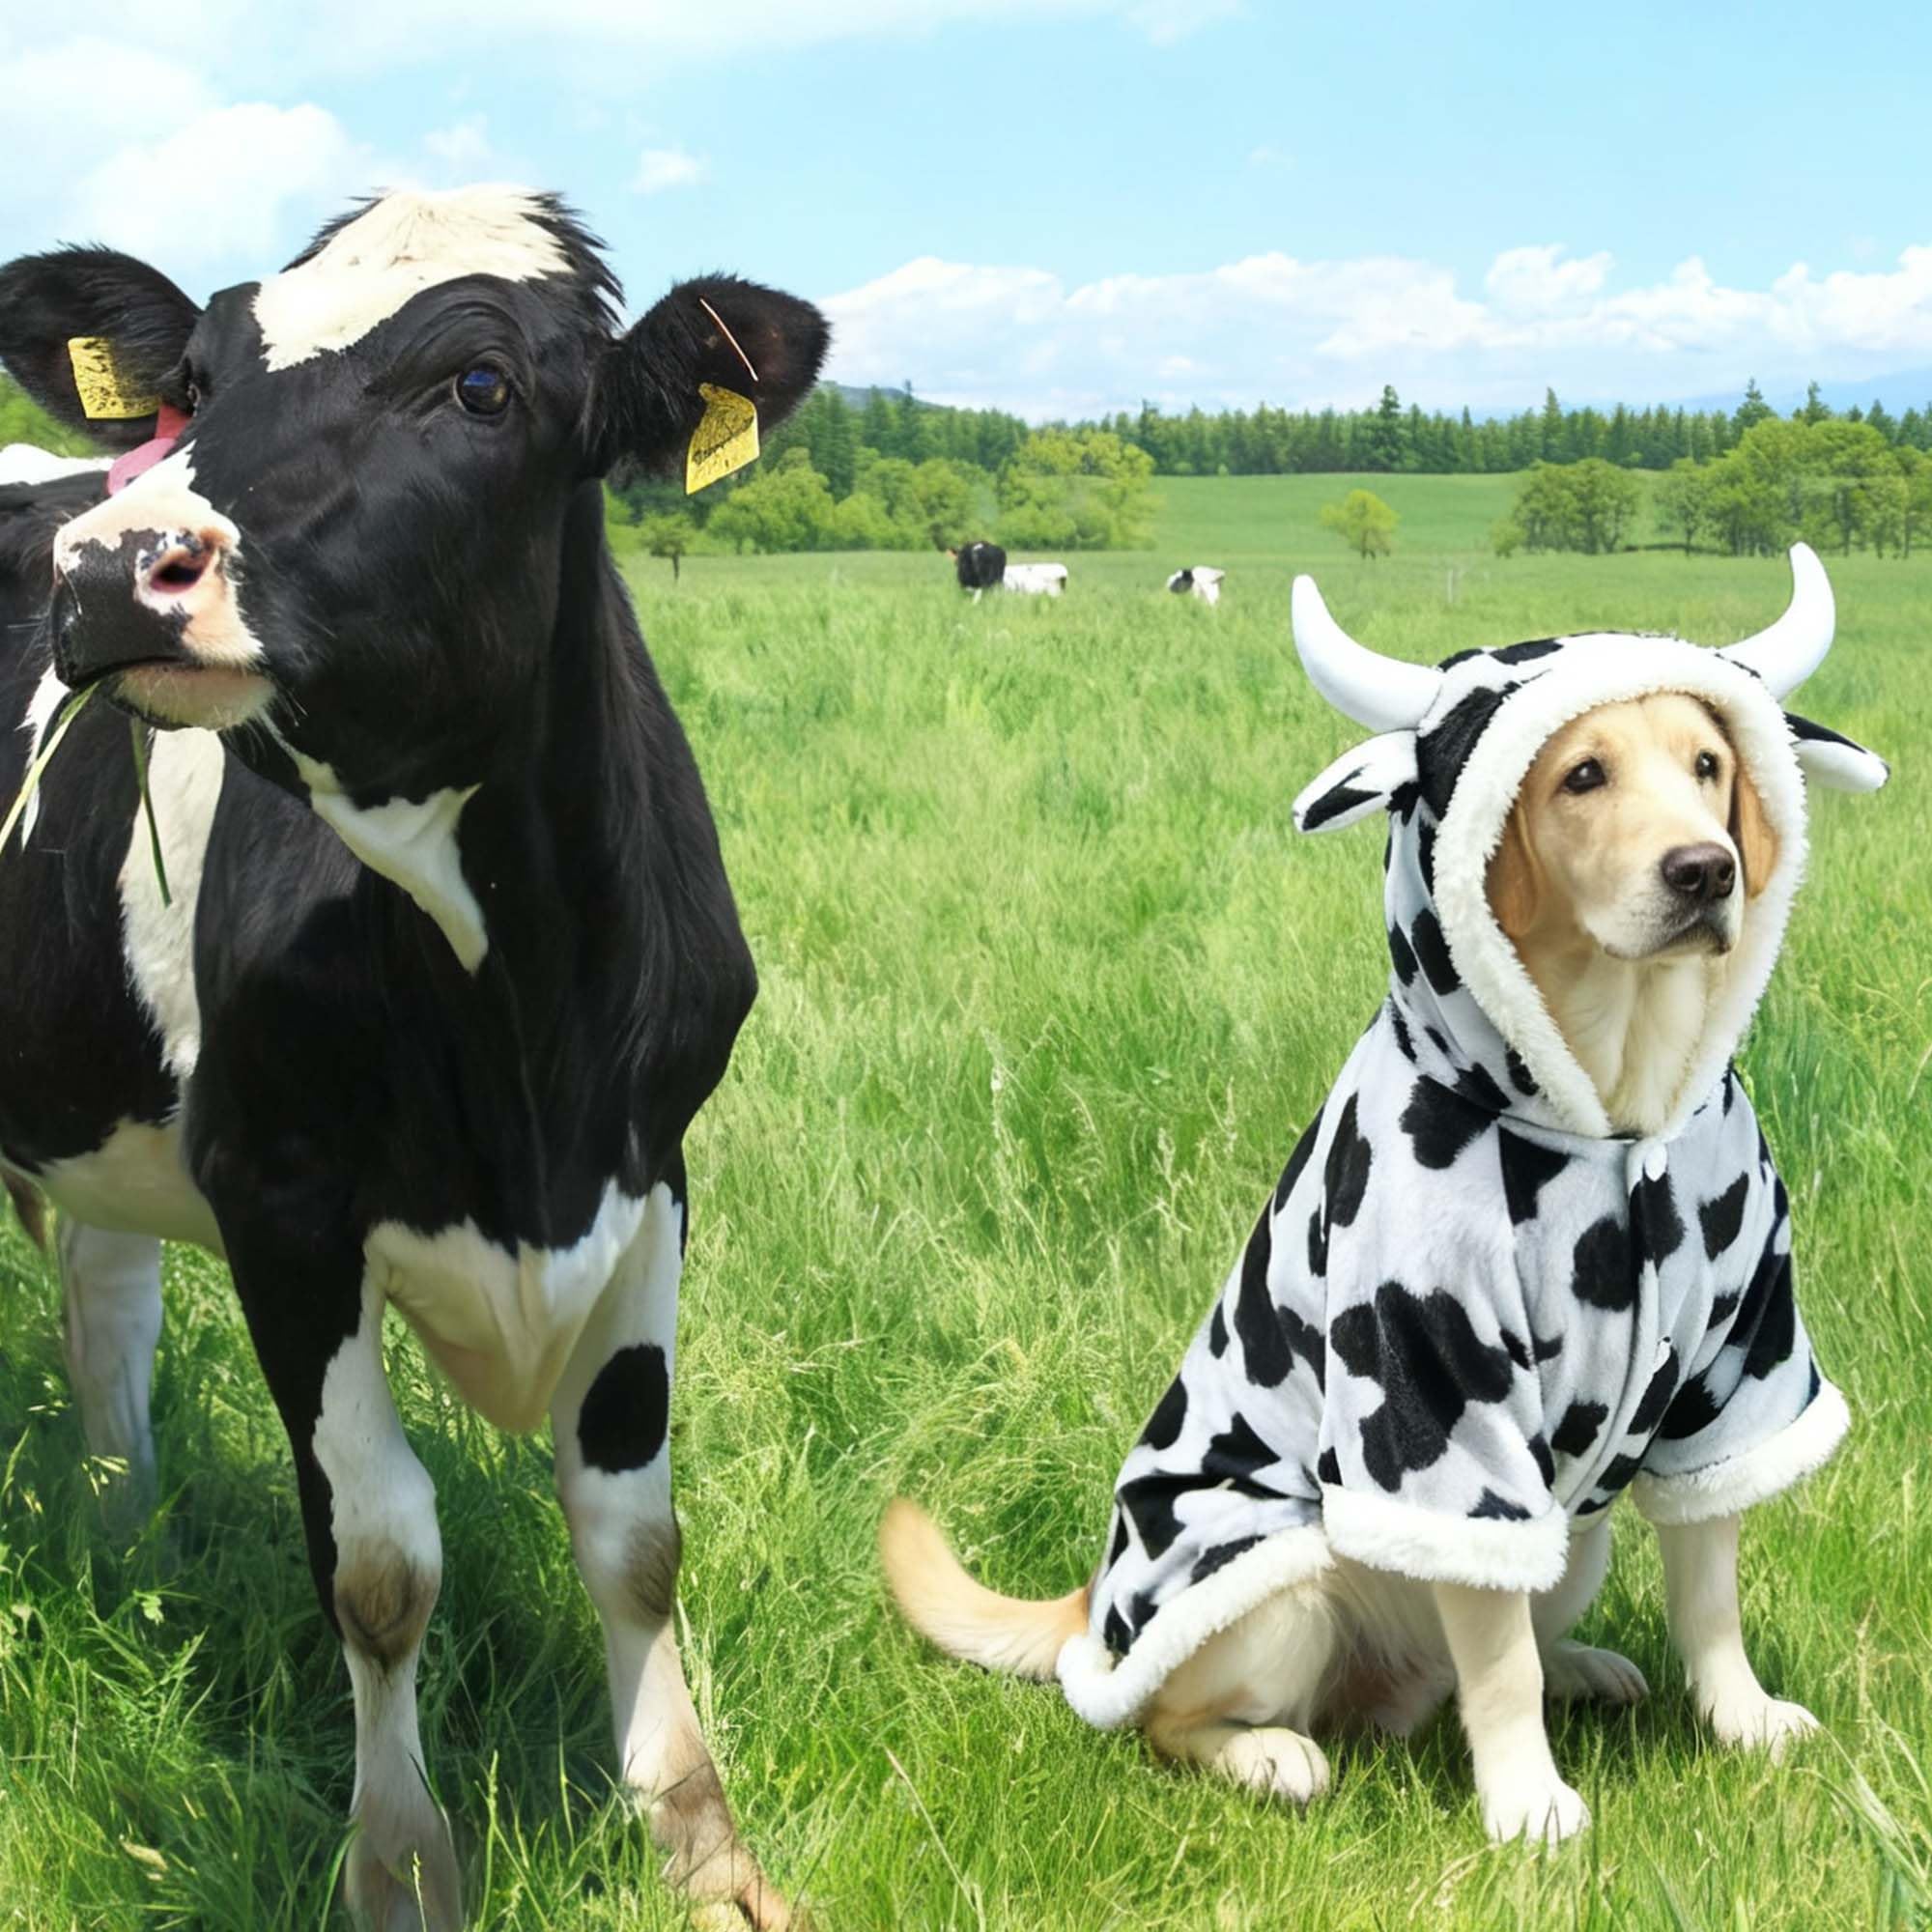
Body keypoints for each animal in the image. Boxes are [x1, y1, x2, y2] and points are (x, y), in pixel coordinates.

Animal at [0, 186, 827, 1931]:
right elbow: (380, 1562)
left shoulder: (656, 1172)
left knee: (106, 1299)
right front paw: (397, 1866)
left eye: (482, 386)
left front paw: (702, 1846)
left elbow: (634, 1532)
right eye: (200, 376)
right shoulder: (281, 1202)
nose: (104, 568)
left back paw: (131, 1546)